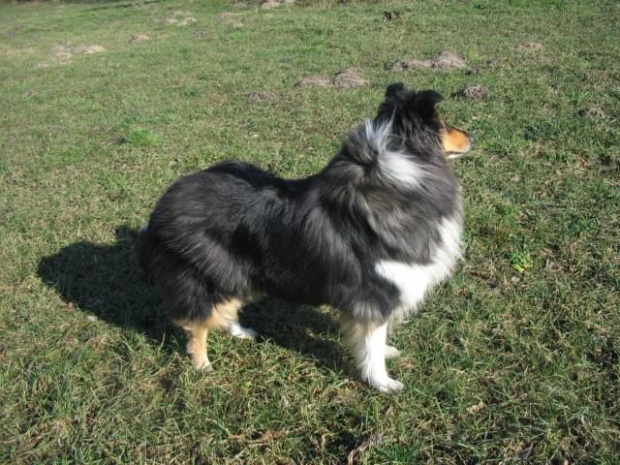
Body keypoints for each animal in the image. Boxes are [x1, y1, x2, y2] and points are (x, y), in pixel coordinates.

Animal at [138, 83, 472, 392]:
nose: (472, 137)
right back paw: (203, 365)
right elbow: (371, 342)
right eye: (442, 123)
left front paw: (387, 352)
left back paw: (242, 332)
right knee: (197, 322)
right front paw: (383, 383)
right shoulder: (374, 292)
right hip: (215, 273)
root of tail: (163, 206)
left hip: (238, 273)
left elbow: (377, 338)